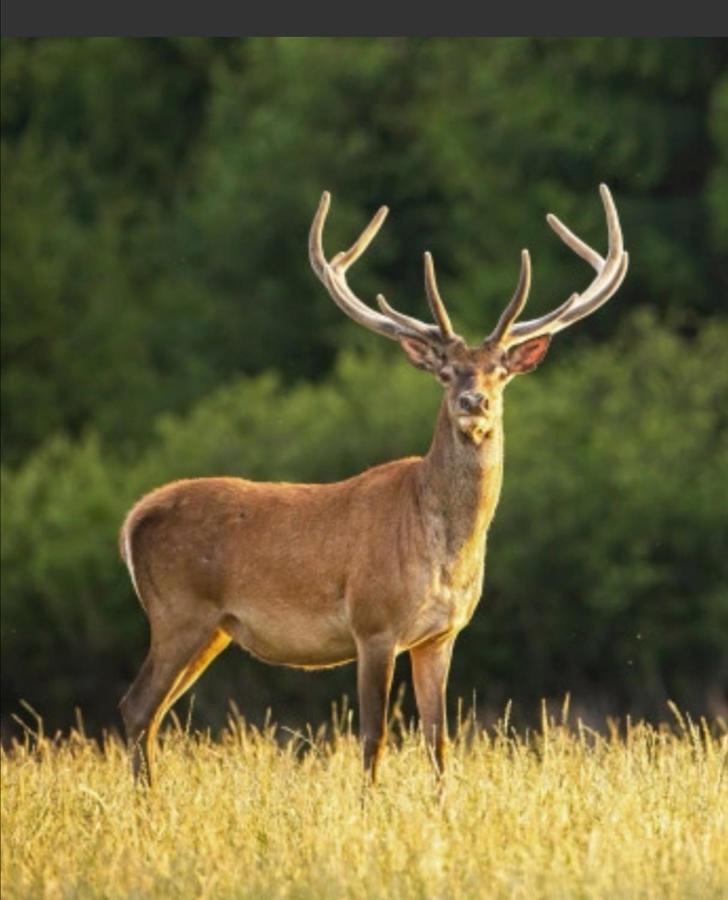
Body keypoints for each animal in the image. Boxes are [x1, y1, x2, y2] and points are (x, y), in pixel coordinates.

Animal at [118, 185, 624, 788]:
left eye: (500, 371)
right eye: (446, 372)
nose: (473, 402)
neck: (444, 551)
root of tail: (134, 518)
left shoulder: (441, 635)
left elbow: (439, 740)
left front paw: (441, 802)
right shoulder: (373, 623)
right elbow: (374, 737)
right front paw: (368, 803)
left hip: (213, 628)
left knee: (151, 712)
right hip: (179, 611)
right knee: (136, 706)